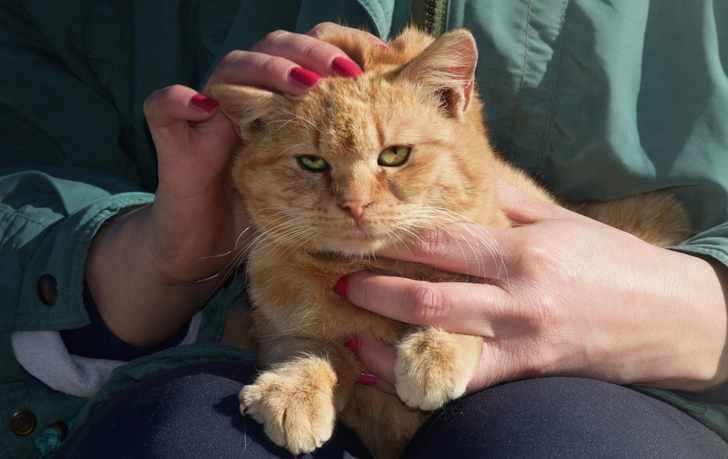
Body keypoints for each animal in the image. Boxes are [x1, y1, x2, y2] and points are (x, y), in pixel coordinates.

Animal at [209, 27, 688, 458]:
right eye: (312, 162)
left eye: (394, 155)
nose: (355, 204)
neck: (371, 267)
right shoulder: (270, 322)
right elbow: (309, 345)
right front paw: (296, 389)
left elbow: (461, 294)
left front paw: (433, 355)